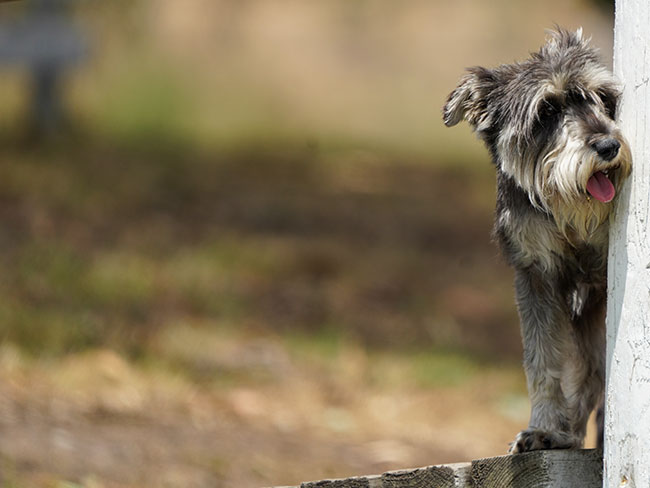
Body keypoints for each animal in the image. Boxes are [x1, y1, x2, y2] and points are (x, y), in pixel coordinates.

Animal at [440, 27, 628, 454]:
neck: (569, 214)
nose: (608, 146)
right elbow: (542, 361)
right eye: (547, 112)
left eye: (603, 99)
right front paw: (545, 427)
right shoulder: (537, 275)